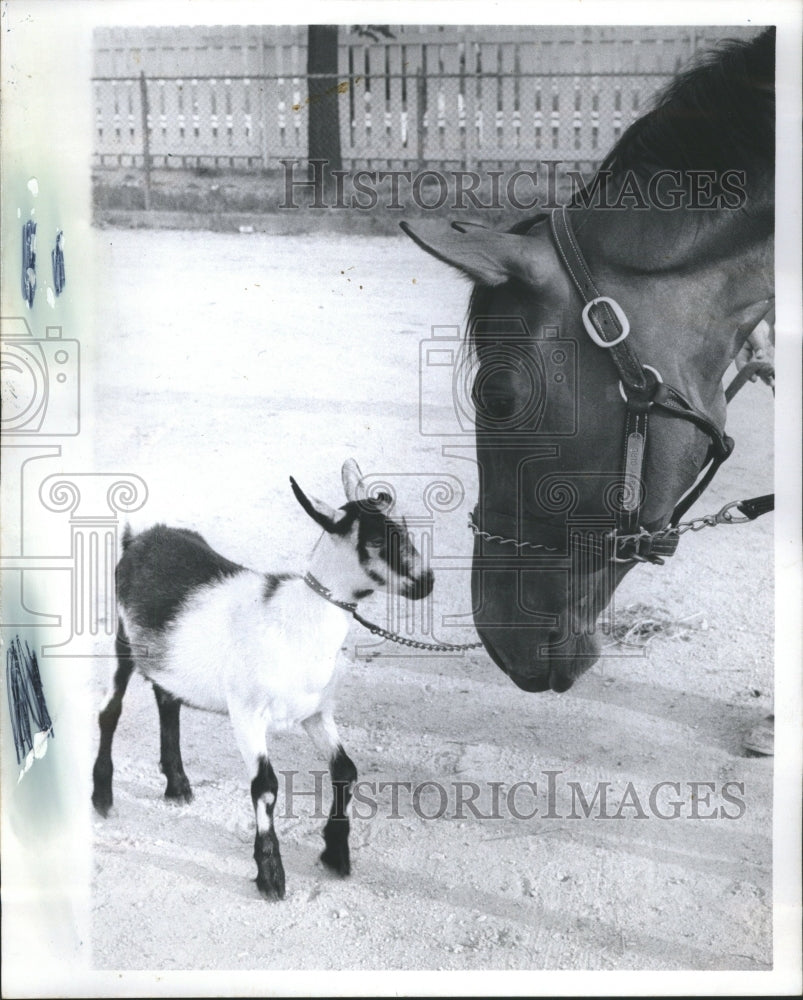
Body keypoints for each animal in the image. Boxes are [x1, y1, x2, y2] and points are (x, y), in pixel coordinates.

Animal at [91, 458, 436, 900]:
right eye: (377, 540)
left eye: (404, 528)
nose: (427, 582)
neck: (297, 618)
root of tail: (140, 537)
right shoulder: (247, 713)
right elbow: (266, 786)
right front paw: (271, 874)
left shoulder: (316, 713)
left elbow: (346, 769)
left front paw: (335, 853)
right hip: (123, 641)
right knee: (110, 711)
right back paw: (103, 797)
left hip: (168, 657)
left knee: (167, 700)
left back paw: (178, 785)